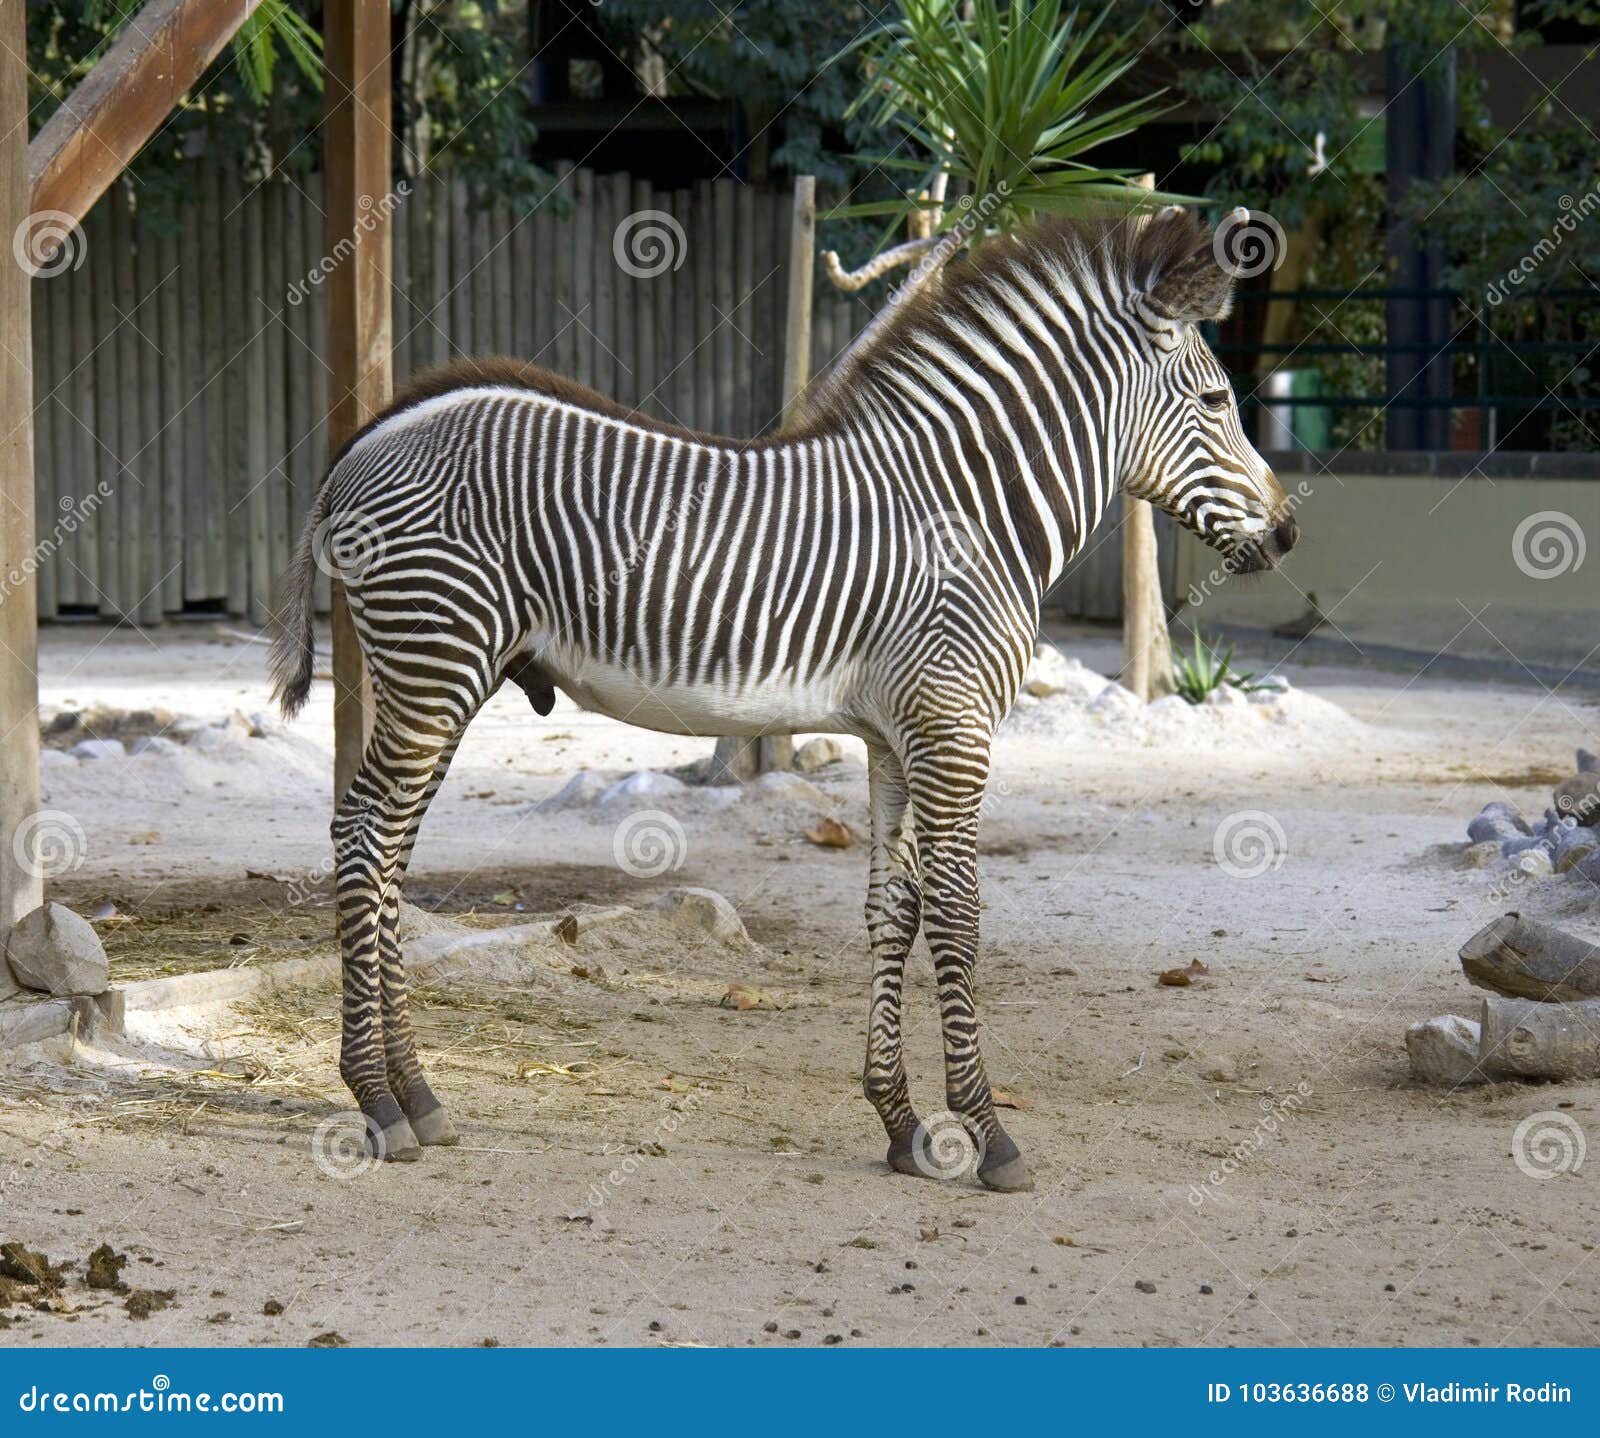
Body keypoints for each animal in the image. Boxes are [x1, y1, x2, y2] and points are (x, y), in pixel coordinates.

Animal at [272, 202, 1299, 1190]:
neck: (974, 515)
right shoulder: (955, 727)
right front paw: (988, 1133)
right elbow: (959, 919)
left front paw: (902, 1125)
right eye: (1217, 400)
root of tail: (363, 443)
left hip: (441, 671)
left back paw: (418, 1093)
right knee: (362, 839)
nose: (1289, 533)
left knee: (386, 849)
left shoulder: (896, 736)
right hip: (433, 660)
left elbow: (896, 911)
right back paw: (378, 1101)